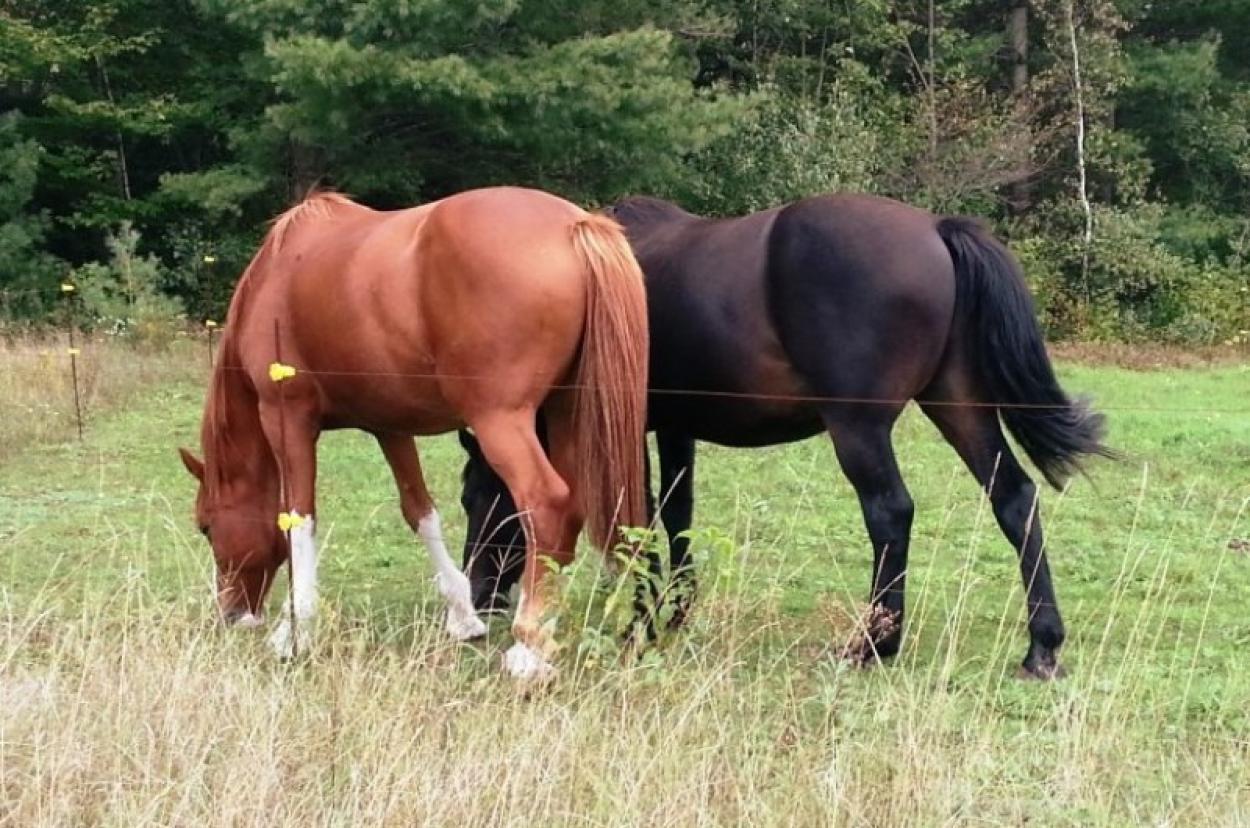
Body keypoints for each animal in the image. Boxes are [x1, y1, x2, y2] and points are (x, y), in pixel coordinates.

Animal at [180, 191, 650, 685]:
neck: (278, 272)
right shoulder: (390, 426)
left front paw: (295, 633)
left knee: (547, 504)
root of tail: (575, 226)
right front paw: (464, 617)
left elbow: (298, 519)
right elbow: (420, 512)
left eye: (206, 526)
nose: (232, 613)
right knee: (571, 509)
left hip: (502, 422)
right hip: (566, 413)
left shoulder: (286, 415)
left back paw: (527, 648)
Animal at [460, 195, 1115, 680]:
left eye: (474, 498)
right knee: (1013, 499)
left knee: (891, 512)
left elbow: (636, 514)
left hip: (859, 427)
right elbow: (677, 512)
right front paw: (674, 613)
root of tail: (935, 228)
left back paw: (872, 644)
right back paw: (1042, 647)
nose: (479, 597)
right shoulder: (675, 425)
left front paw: (640, 621)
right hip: (959, 405)